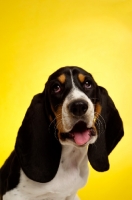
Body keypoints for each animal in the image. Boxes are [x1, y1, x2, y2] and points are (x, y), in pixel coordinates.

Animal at [0, 66, 124, 199]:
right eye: (56, 87)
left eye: (88, 84)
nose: (79, 106)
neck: (69, 158)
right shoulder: (15, 195)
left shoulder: (71, 195)